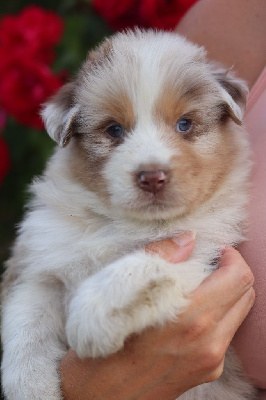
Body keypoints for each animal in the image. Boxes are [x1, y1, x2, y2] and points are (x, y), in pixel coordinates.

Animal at [1, 29, 256, 398]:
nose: (152, 177)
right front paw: (31, 386)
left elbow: (142, 265)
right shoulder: (43, 265)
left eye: (184, 124)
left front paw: (89, 319)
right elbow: (25, 323)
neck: (126, 223)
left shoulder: (206, 260)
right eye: (114, 130)